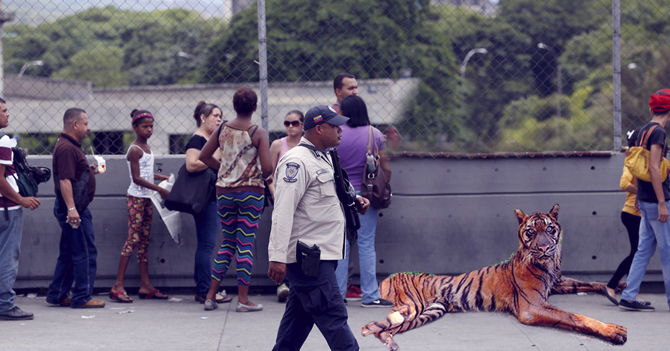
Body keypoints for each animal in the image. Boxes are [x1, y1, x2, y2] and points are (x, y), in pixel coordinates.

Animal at [362, 205, 632, 350]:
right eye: (531, 232)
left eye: (549, 229)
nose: (544, 248)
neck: (548, 264)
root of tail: (394, 276)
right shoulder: (533, 306)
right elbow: (575, 317)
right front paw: (615, 331)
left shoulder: (557, 283)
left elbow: (590, 283)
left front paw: (617, 285)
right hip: (411, 308)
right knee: (370, 326)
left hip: (431, 311)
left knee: (384, 328)